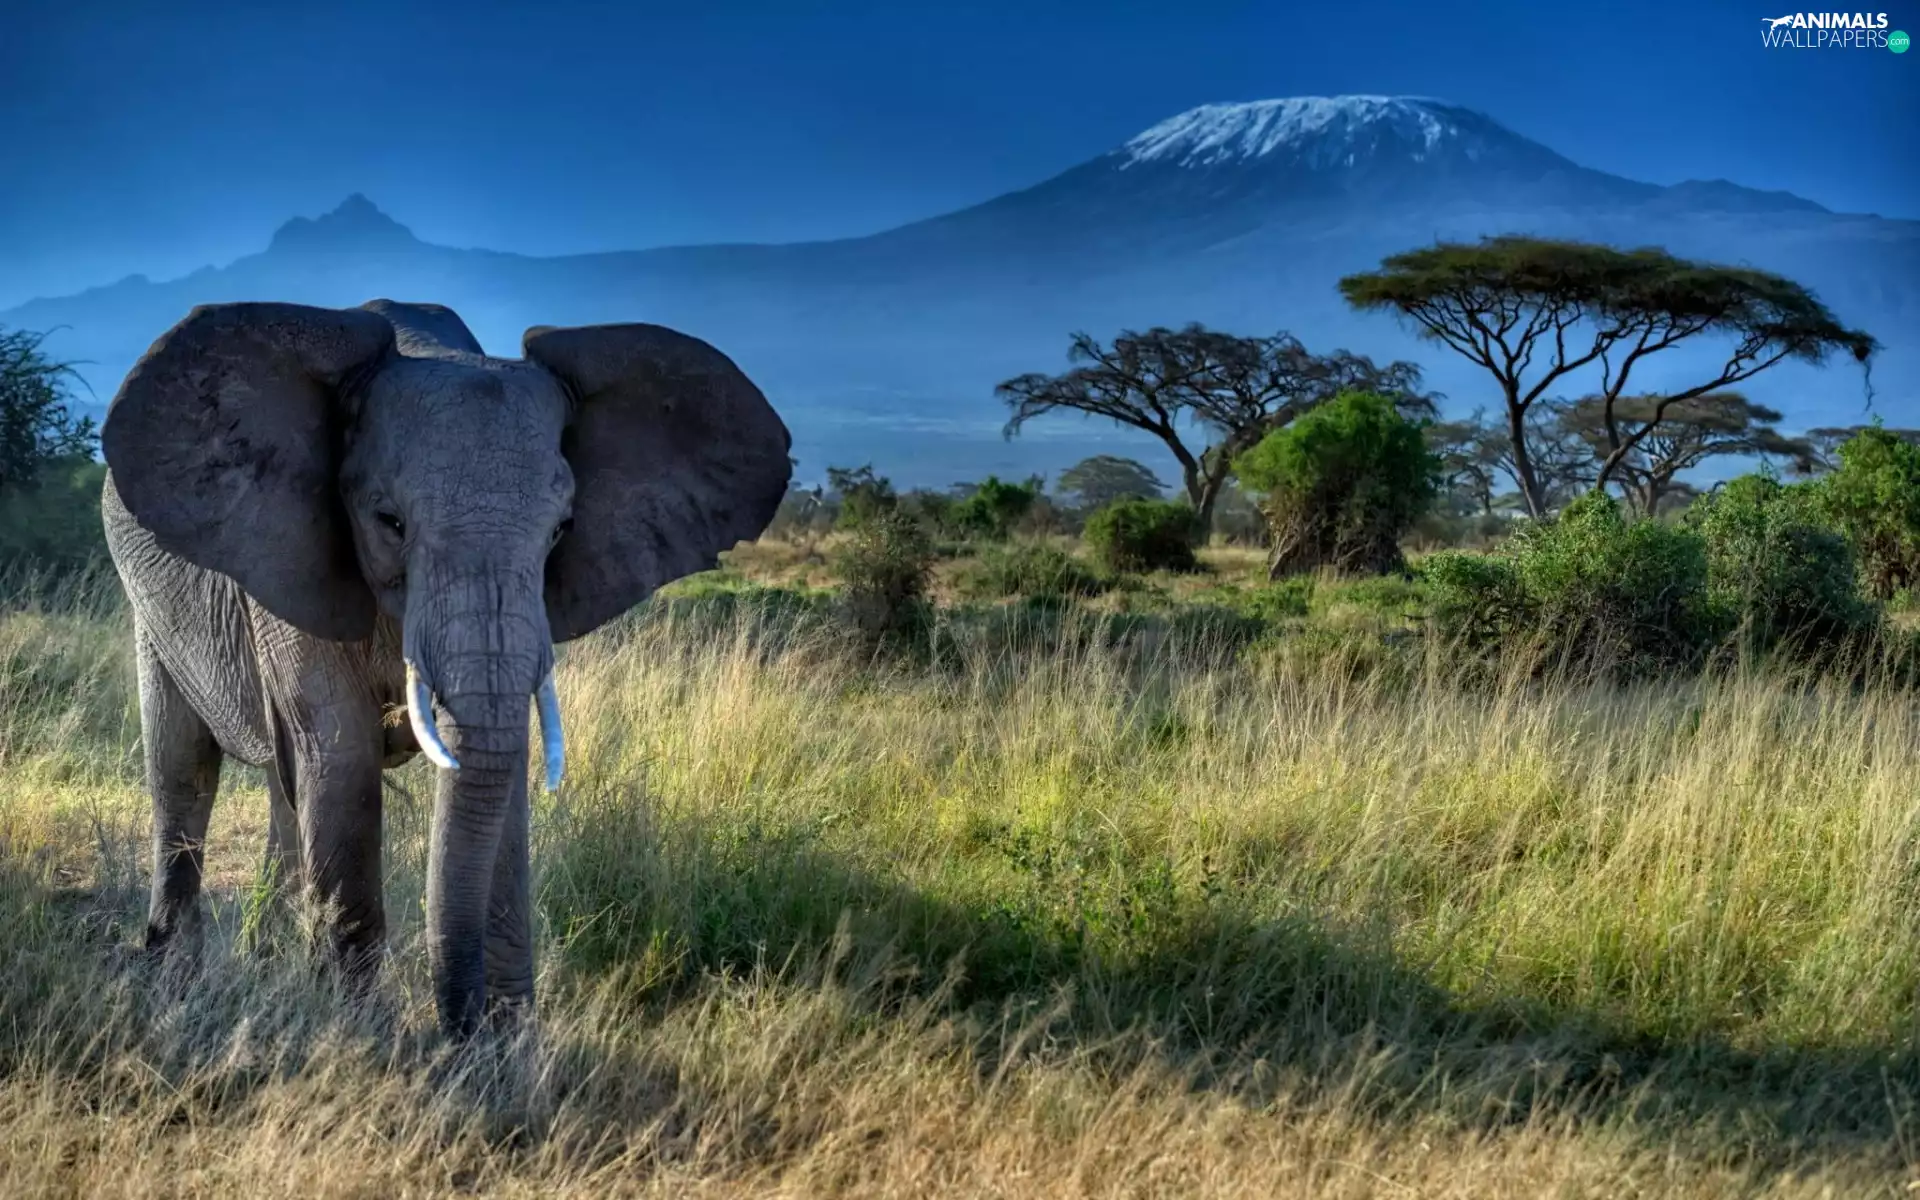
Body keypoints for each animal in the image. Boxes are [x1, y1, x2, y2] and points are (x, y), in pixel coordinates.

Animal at [99, 299, 791, 1036]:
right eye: (390, 522)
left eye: (560, 531)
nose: (457, 1030)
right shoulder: (288, 552)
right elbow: (341, 756)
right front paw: (357, 1037)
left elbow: (499, 771)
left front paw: (507, 1047)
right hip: (148, 597)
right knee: (184, 765)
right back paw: (173, 976)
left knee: (284, 785)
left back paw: (265, 961)